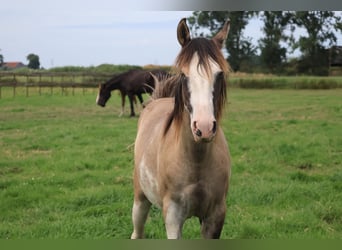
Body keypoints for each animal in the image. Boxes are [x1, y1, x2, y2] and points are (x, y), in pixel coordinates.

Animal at [132, 18, 232, 239]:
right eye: (184, 74)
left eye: (219, 74)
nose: (204, 128)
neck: (196, 162)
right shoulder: (173, 216)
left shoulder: (215, 216)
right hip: (140, 199)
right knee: (137, 232)